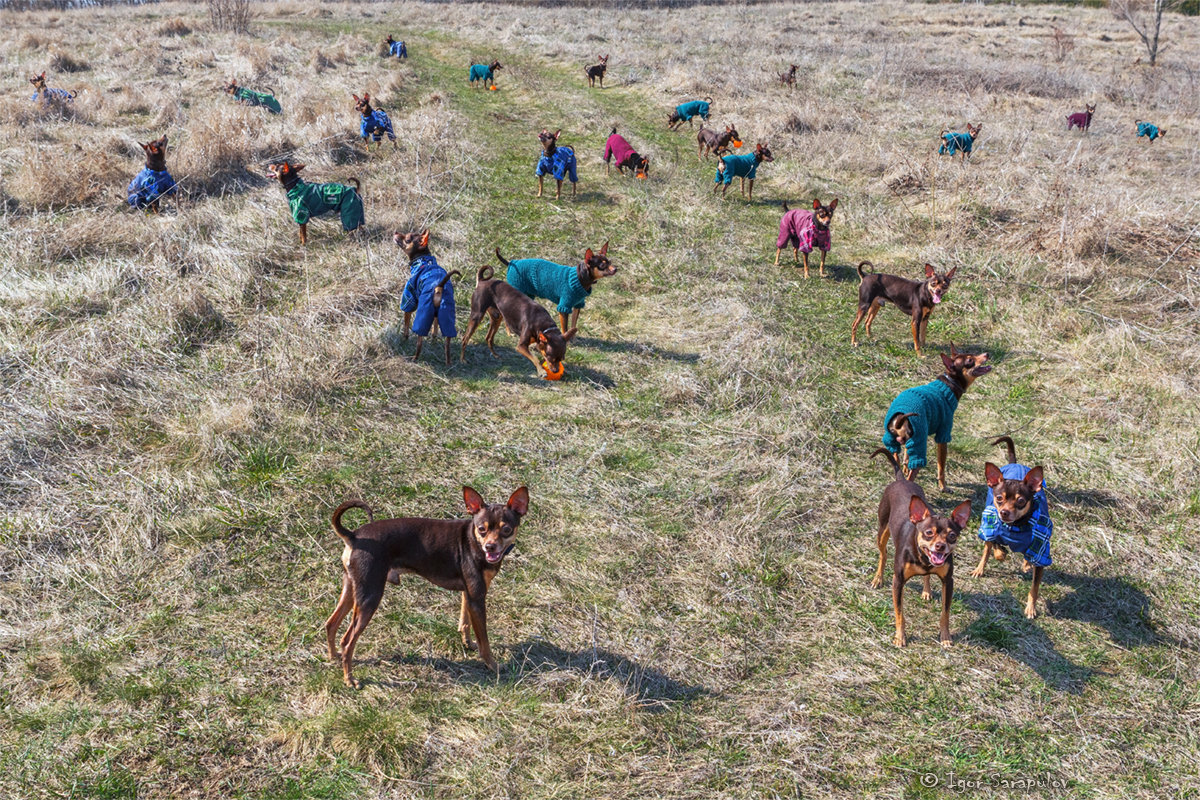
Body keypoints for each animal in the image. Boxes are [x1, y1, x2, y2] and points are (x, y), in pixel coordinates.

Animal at [324, 489, 530, 690]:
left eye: (506, 529)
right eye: (482, 529)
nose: (490, 546)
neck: (473, 541)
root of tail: (354, 536)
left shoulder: (469, 594)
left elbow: (465, 623)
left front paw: (468, 643)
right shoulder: (477, 598)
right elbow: (484, 641)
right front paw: (493, 665)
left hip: (352, 589)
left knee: (331, 624)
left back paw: (334, 657)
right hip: (370, 596)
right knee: (348, 641)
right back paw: (350, 679)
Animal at [400, 227, 460, 367]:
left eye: (407, 239)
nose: (396, 233)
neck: (423, 260)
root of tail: (439, 287)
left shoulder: (409, 298)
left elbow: (406, 323)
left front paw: (404, 339)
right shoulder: (436, 314)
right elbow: (435, 328)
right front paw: (433, 339)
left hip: (423, 314)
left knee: (419, 342)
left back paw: (414, 358)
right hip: (446, 313)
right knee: (447, 344)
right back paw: (448, 363)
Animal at [873, 450, 974, 652]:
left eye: (952, 535)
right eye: (929, 533)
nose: (940, 546)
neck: (924, 560)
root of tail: (901, 479)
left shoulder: (948, 581)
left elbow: (945, 613)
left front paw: (945, 637)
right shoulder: (898, 582)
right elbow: (900, 613)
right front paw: (900, 637)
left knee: (926, 576)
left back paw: (926, 591)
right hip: (882, 529)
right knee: (883, 554)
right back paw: (878, 578)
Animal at [883, 347, 993, 491]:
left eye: (973, 354)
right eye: (970, 360)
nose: (987, 354)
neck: (949, 384)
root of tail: (900, 418)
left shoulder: (910, 440)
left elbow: (906, 453)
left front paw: (905, 467)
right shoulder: (943, 435)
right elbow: (941, 467)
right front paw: (943, 487)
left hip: (894, 442)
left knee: (896, 458)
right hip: (919, 443)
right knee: (913, 473)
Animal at [974, 438, 1051, 618]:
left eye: (1021, 500)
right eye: (999, 498)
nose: (1004, 512)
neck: (1015, 526)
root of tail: (1015, 464)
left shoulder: (1041, 552)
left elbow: (1034, 588)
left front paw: (1031, 608)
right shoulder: (990, 527)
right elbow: (995, 548)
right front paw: (1001, 553)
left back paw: (1026, 563)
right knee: (986, 551)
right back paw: (979, 569)